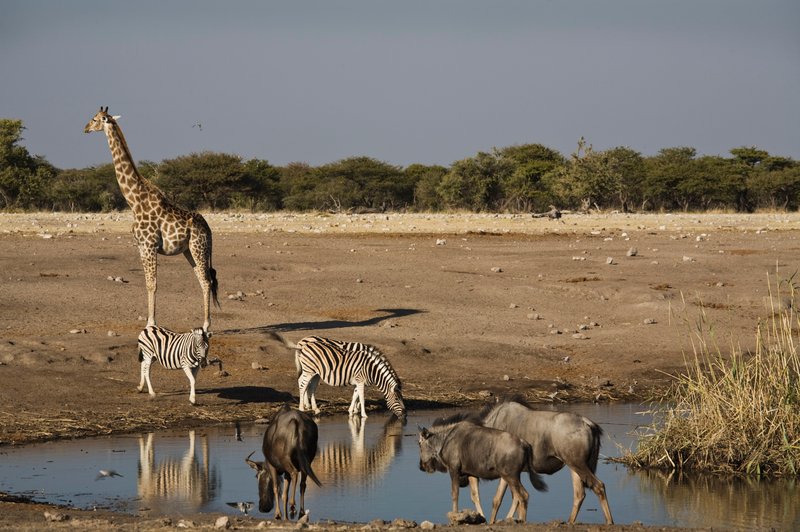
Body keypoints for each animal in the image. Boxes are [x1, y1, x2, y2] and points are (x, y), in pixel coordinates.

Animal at [84, 107, 219, 330]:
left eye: (95, 119)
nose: (85, 128)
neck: (134, 200)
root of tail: (208, 228)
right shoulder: (140, 246)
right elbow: (148, 283)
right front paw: (150, 321)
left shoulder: (149, 245)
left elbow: (152, 284)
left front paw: (151, 323)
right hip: (189, 251)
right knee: (203, 280)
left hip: (198, 248)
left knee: (207, 280)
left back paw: (207, 325)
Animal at [272, 332, 406, 420]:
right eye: (397, 399)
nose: (405, 416)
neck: (370, 369)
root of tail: (302, 343)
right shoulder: (360, 380)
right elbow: (361, 397)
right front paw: (362, 414)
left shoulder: (358, 381)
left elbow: (355, 395)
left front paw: (352, 411)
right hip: (308, 370)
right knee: (302, 384)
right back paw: (302, 408)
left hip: (315, 372)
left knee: (310, 387)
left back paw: (314, 408)